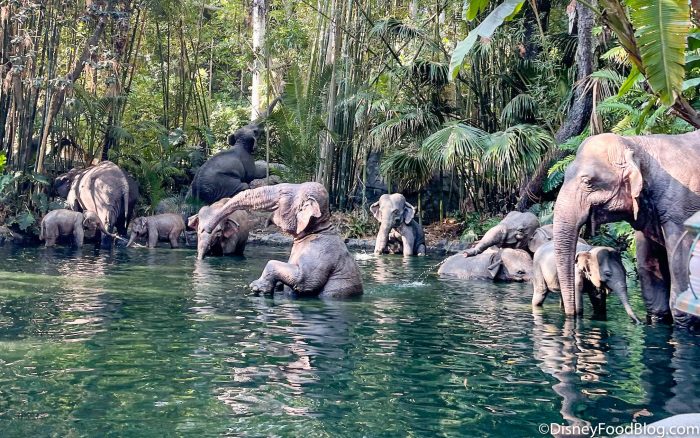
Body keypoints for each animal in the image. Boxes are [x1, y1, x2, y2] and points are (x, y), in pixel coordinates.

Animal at [199, 182, 363, 298]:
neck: (321, 228)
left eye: (282, 193)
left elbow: (305, 281)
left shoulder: (319, 253)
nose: (206, 228)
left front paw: (256, 287)